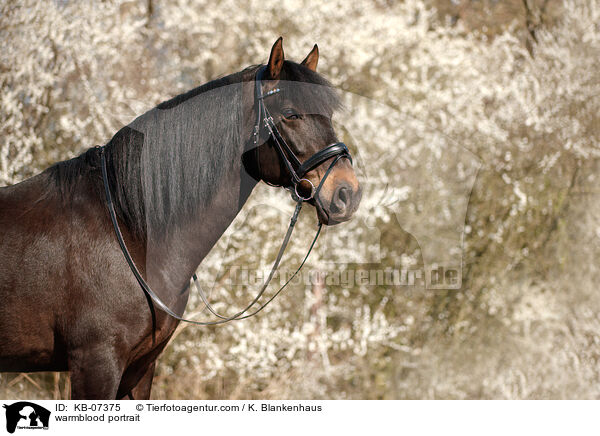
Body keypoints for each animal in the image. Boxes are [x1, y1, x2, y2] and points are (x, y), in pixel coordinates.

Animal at [0, 39, 360, 400]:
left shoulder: (139, 369)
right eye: (290, 114)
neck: (128, 230)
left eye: (329, 115)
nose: (348, 193)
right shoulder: (96, 363)